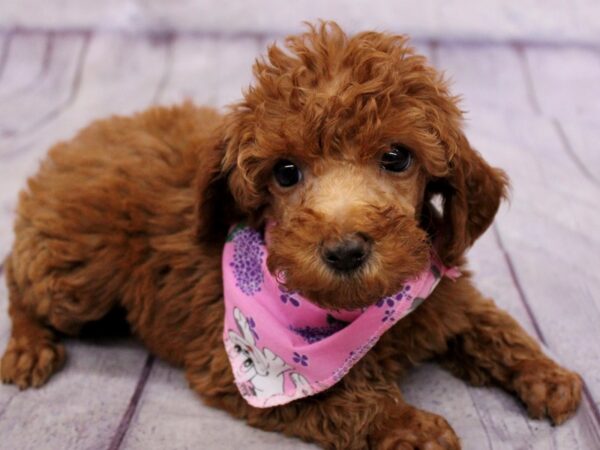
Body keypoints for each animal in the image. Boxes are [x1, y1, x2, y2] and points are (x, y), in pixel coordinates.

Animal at [0, 22, 580, 450]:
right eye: (285, 172)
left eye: (397, 157)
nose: (345, 251)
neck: (356, 310)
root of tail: (82, 138)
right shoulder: (237, 365)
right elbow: (342, 397)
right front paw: (410, 427)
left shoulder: (441, 288)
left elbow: (489, 322)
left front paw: (548, 376)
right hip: (76, 271)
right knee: (19, 279)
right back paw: (29, 348)